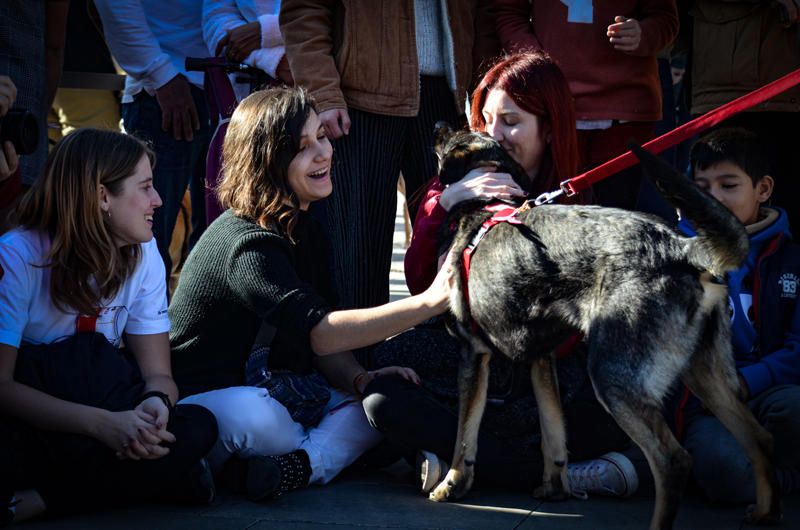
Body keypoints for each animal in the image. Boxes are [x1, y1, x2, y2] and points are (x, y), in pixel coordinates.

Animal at [432, 125, 780, 528]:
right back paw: (766, 513)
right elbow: (553, 429)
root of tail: (681, 248)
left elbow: (465, 434)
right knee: (760, 439)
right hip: (705, 374)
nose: (438, 124)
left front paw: (452, 484)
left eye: (455, 136)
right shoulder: (542, 359)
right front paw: (555, 487)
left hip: (612, 376)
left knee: (673, 461)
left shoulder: (473, 354)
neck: (485, 206)